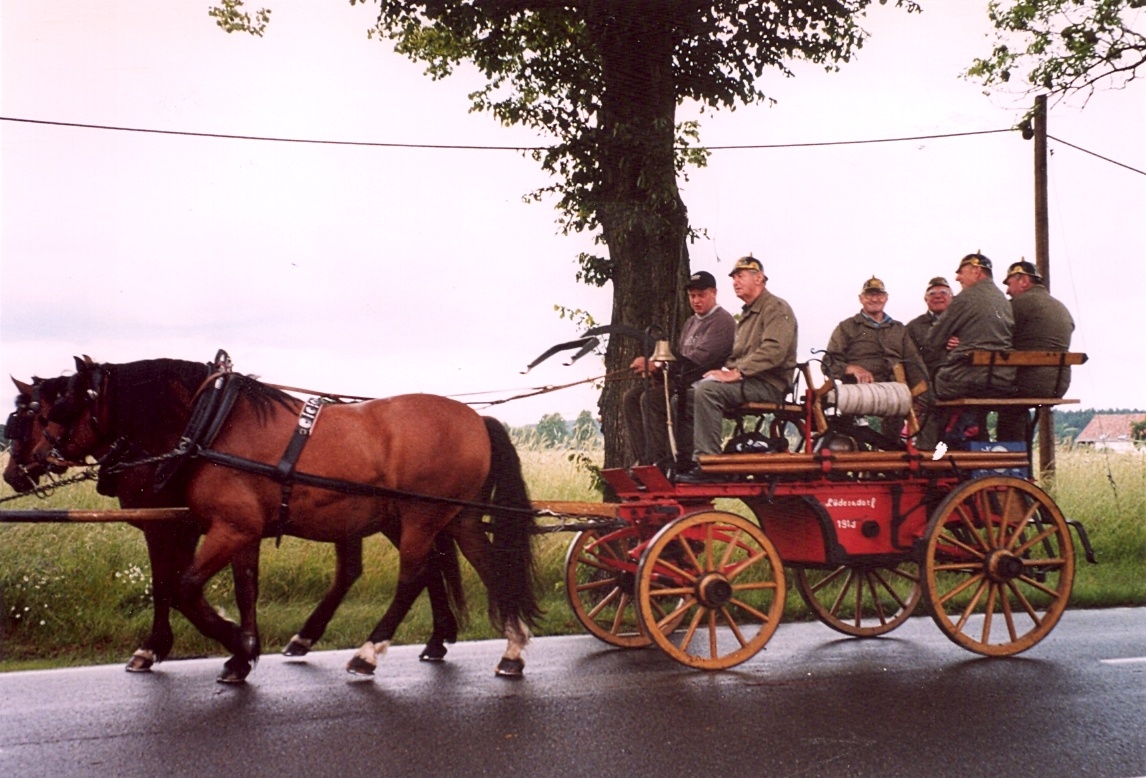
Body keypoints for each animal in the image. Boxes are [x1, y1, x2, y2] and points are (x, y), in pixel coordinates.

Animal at [15, 359, 540, 682]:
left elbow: (180, 588)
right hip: (457, 518)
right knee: (486, 565)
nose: (17, 469)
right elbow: (243, 586)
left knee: (414, 576)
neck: (209, 425)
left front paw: (234, 644)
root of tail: (477, 420)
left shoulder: (217, 528)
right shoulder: (236, 530)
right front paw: (240, 653)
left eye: (56, 408)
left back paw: (368, 654)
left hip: (421, 517)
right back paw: (511, 649)